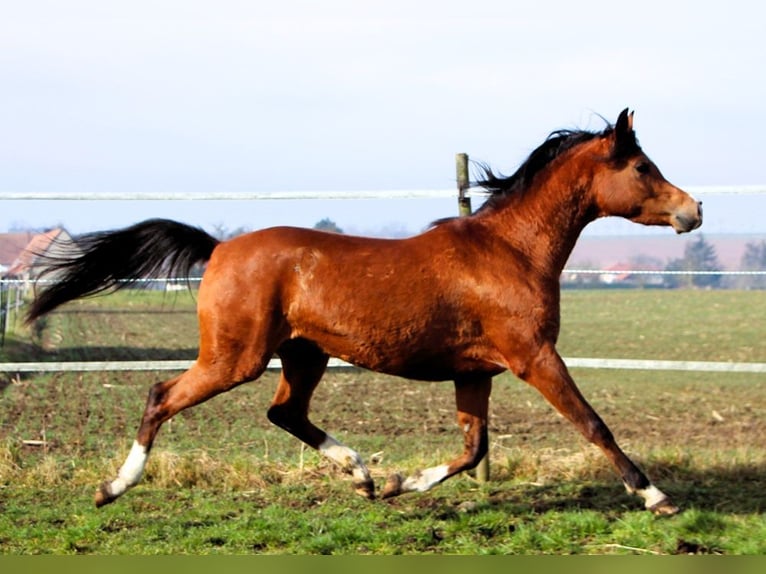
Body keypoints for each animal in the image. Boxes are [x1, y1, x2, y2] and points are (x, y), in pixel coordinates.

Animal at [28, 110, 704, 516]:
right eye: (642, 167)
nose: (693, 211)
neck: (510, 250)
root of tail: (218, 247)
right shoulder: (533, 356)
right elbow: (593, 424)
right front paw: (656, 496)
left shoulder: (475, 371)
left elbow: (474, 448)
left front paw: (403, 483)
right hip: (234, 356)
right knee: (161, 396)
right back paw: (113, 487)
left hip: (303, 354)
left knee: (285, 413)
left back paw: (361, 474)